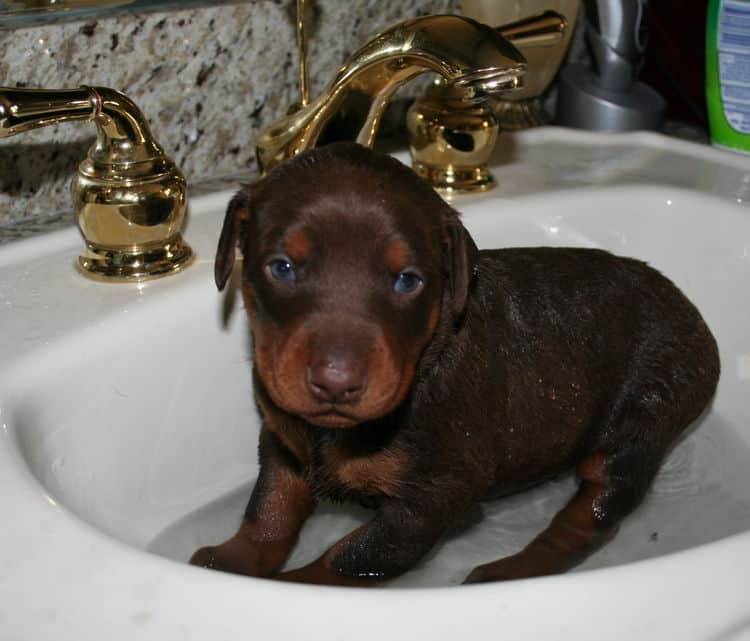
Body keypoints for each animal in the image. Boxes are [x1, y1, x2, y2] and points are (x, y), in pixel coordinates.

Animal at [189, 142, 724, 584]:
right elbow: (269, 507)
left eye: (408, 279)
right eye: (282, 267)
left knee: (594, 511)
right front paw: (231, 562)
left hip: (642, 419)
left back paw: (507, 571)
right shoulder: (282, 439)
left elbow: (349, 558)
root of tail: (694, 315)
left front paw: (294, 585)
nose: (336, 383)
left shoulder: (432, 496)